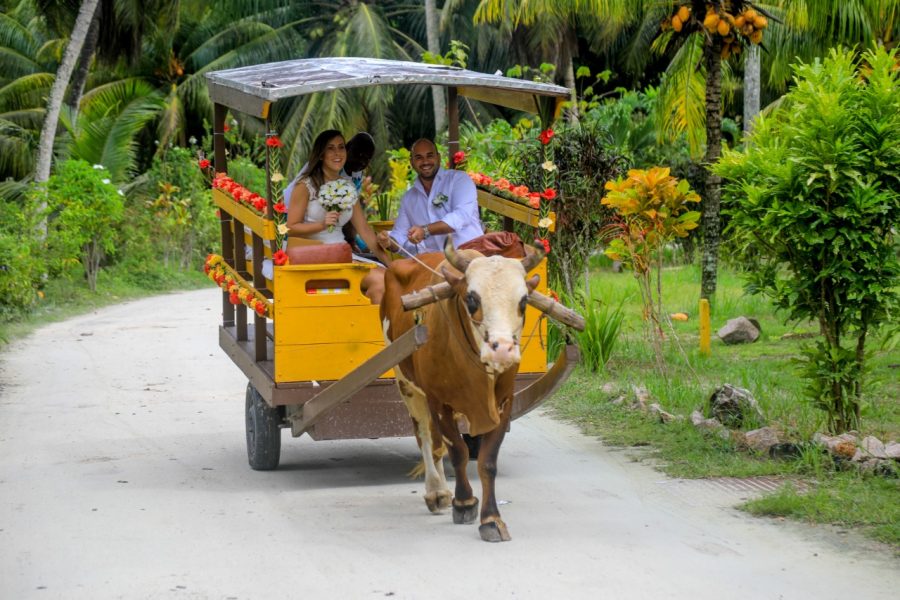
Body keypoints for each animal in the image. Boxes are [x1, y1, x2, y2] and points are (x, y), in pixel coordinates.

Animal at [380, 237, 540, 540]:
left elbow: (487, 461)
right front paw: (464, 502)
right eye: (472, 299)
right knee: (425, 438)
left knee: (435, 444)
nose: (502, 350)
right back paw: (436, 492)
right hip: (407, 384)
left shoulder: (503, 403)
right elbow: (457, 452)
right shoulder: (439, 401)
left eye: (524, 301)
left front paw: (491, 519)